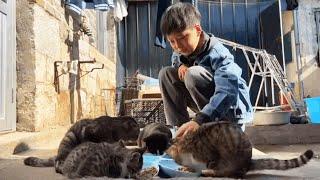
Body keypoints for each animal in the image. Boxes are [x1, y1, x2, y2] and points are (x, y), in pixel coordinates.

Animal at [166, 120, 314, 178]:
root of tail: (248, 163)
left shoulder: (210, 155)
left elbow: (210, 164)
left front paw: (202, 169)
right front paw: (188, 168)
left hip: (234, 161)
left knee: (230, 172)